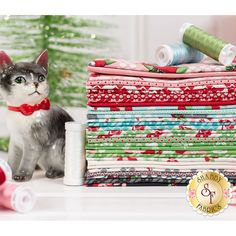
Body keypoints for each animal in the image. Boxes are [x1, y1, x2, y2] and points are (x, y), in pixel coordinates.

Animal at [0, 49, 73, 182]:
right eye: (19, 80)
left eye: (41, 78)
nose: (36, 83)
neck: (25, 109)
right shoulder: (15, 141)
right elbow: (13, 159)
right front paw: (8, 172)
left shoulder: (33, 143)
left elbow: (27, 161)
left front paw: (22, 175)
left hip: (57, 145)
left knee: (63, 168)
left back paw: (55, 173)